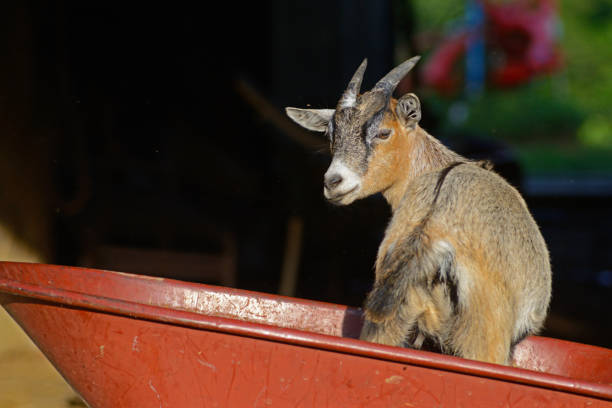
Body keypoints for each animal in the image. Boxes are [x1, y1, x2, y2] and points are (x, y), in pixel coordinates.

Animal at [284, 56, 552, 364]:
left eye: (384, 133)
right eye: (331, 134)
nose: (333, 181)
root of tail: (431, 228)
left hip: (392, 309)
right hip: (485, 329)